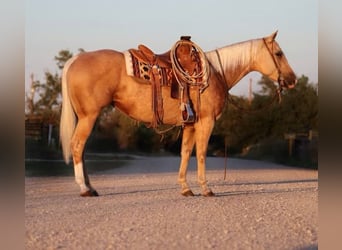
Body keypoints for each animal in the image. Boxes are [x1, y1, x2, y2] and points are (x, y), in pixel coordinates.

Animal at [60, 30, 296, 196]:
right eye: (278, 53)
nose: (292, 80)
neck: (215, 73)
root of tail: (74, 60)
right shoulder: (206, 122)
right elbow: (201, 153)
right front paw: (206, 189)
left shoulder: (190, 124)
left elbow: (185, 153)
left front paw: (186, 188)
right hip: (89, 116)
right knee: (77, 146)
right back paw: (85, 189)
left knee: (82, 149)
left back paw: (91, 187)